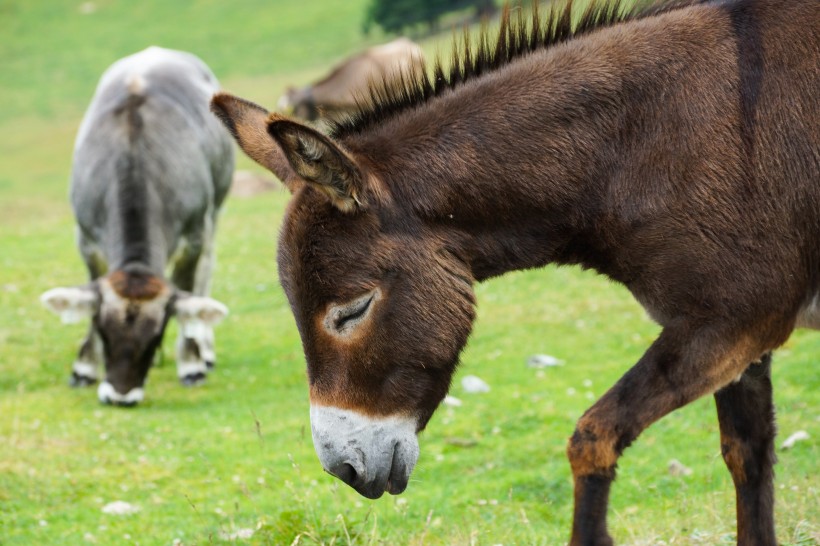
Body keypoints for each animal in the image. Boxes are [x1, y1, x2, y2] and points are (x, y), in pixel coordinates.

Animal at [42, 46, 234, 404]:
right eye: (103, 330)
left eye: (156, 335)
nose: (120, 396)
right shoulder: (86, 239)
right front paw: (84, 366)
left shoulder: (193, 236)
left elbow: (188, 291)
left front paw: (191, 362)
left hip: (215, 212)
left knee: (206, 273)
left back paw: (205, 347)